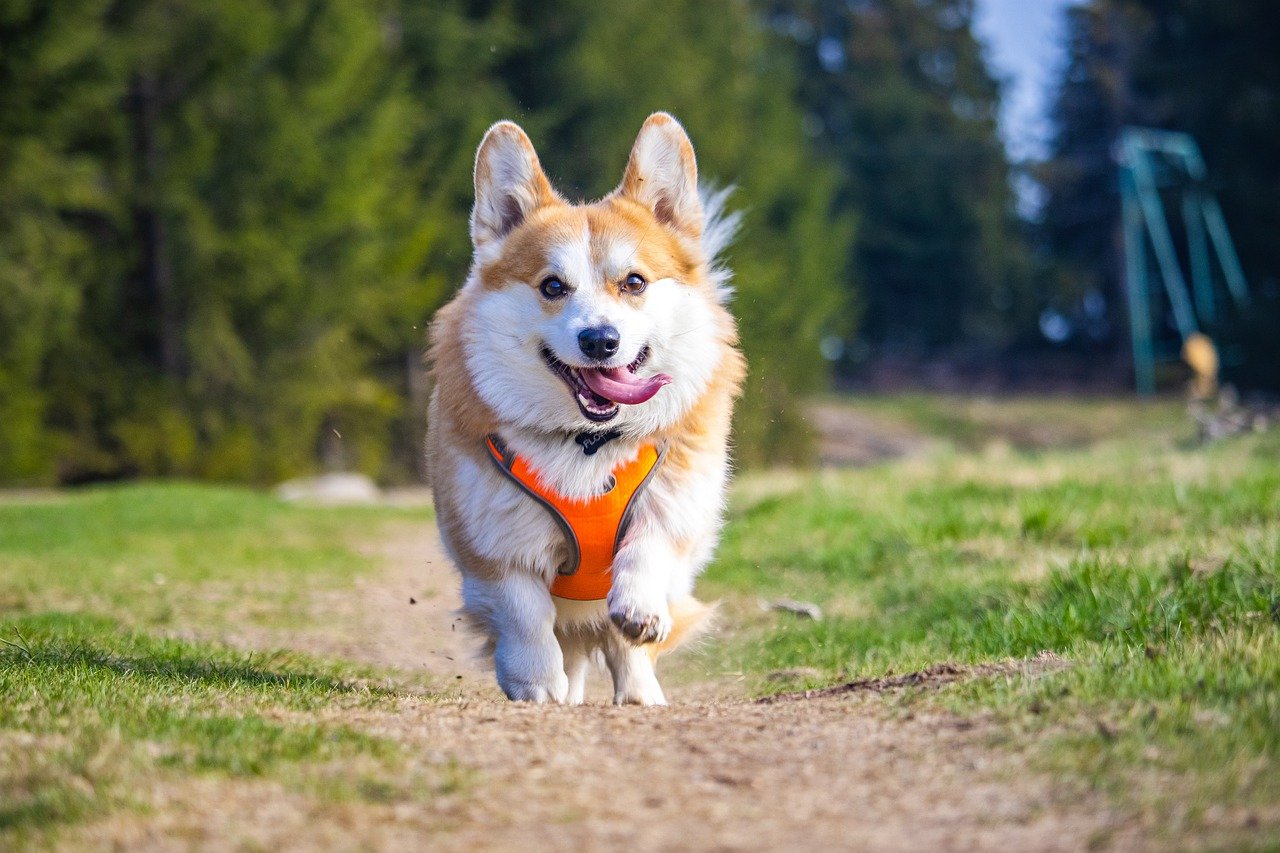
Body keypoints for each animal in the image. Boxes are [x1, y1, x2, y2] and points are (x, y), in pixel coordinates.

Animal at [427, 112, 747, 701]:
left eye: (635, 282)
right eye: (553, 286)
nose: (600, 340)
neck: (588, 441)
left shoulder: (675, 503)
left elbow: (648, 547)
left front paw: (639, 609)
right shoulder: (493, 548)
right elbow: (525, 614)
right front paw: (536, 683)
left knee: (623, 648)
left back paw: (641, 694)